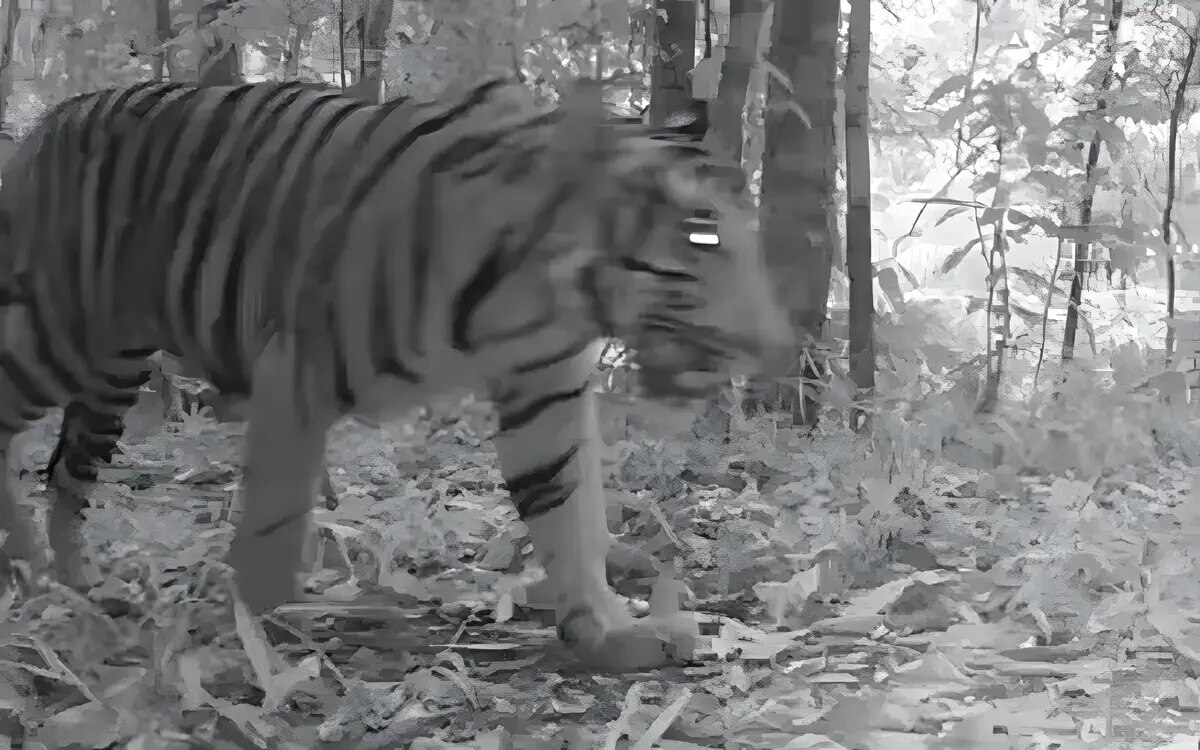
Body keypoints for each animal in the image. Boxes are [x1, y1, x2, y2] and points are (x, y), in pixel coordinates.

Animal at [0, 77, 792, 667]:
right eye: (702, 234)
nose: (771, 344)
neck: (552, 294)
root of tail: (45, 124)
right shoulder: (296, 368)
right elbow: (274, 525)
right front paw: (258, 644)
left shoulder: (547, 388)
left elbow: (568, 508)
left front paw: (609, 630)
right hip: (59, 337)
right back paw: (34, 577)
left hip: (112, 370)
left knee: (66, 475)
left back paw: (69, 588)